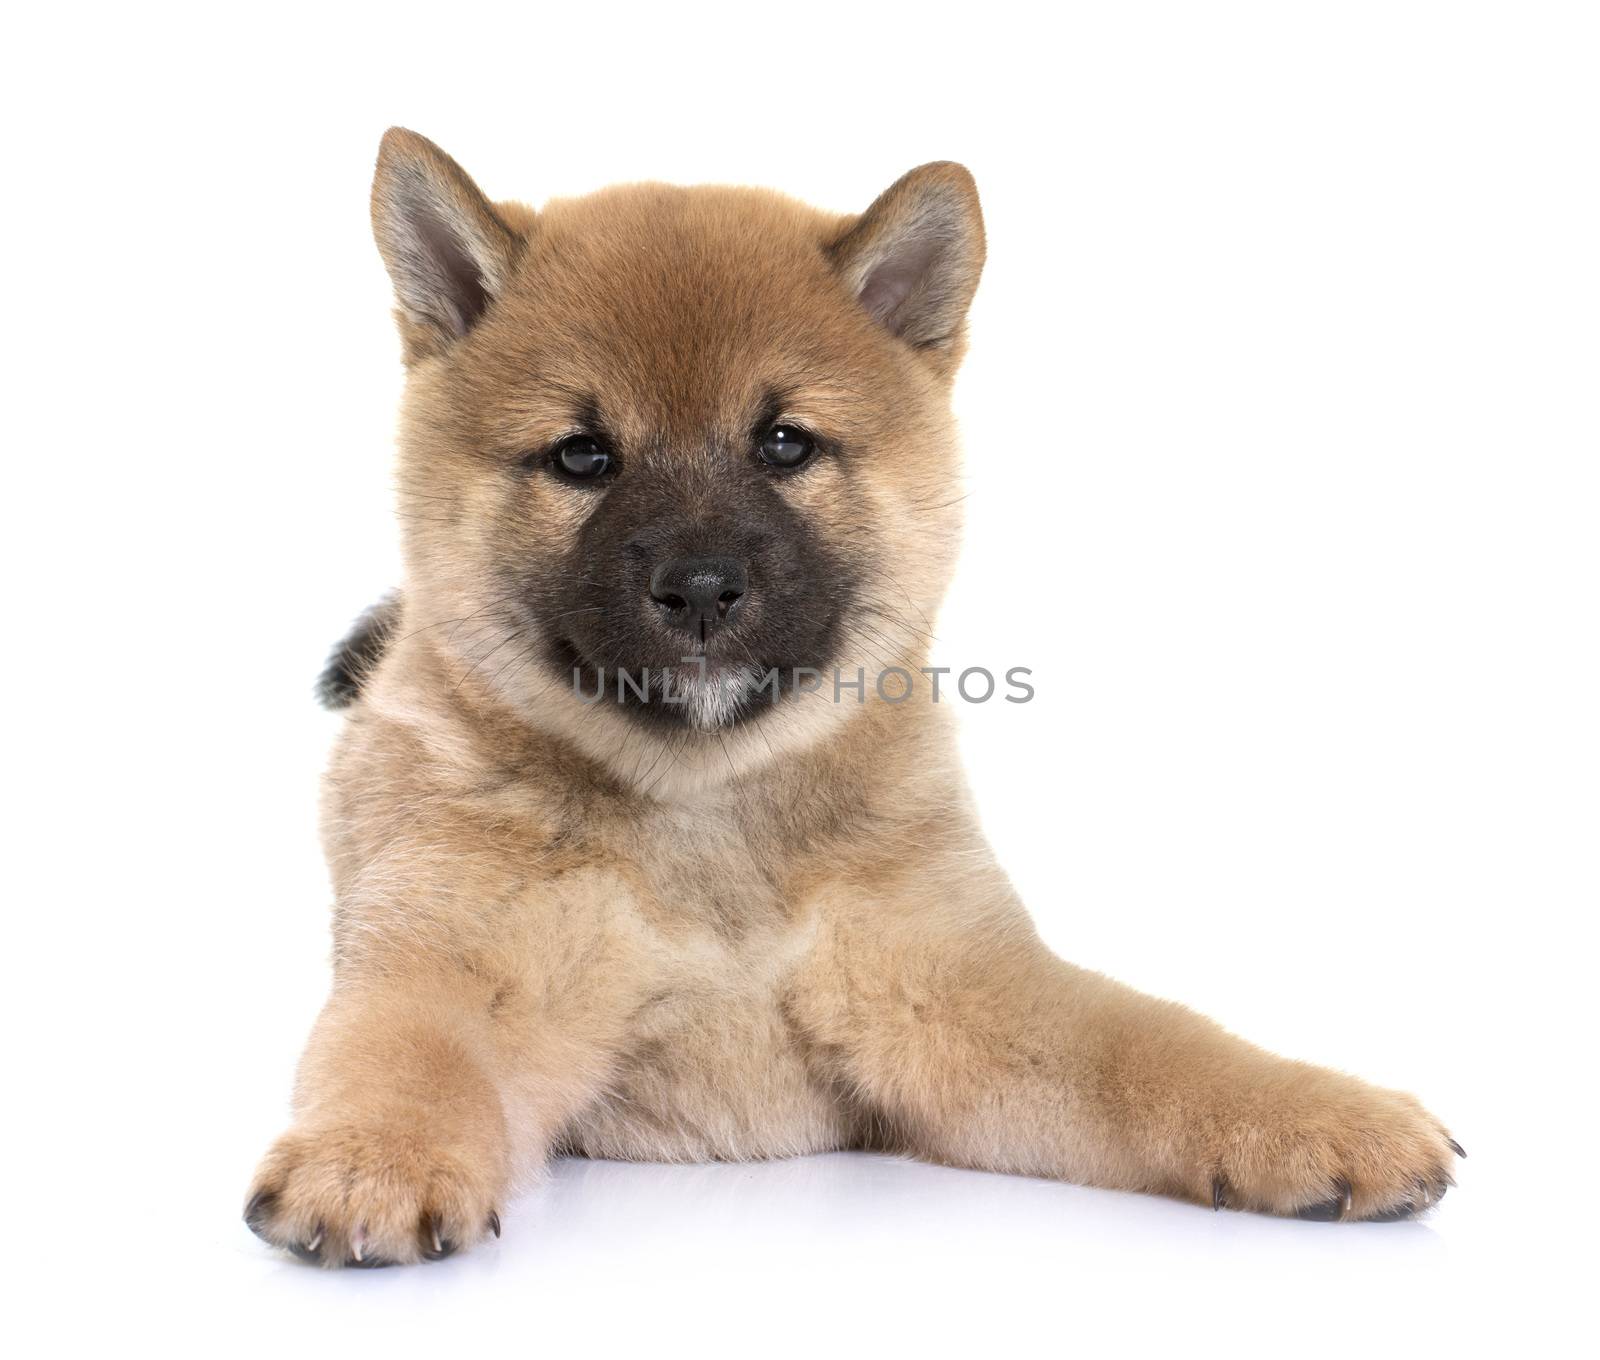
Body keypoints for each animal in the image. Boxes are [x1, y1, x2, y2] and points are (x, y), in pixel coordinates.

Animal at [246, 132, 1465, 1267]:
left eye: (784, 442)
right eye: (583, 456)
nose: (699, 585)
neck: (708, 814)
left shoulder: (962, 990)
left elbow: (1161, 1046)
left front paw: (1320, 1113)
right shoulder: (452, 966)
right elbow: (407, 1057)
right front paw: (371, 1159)